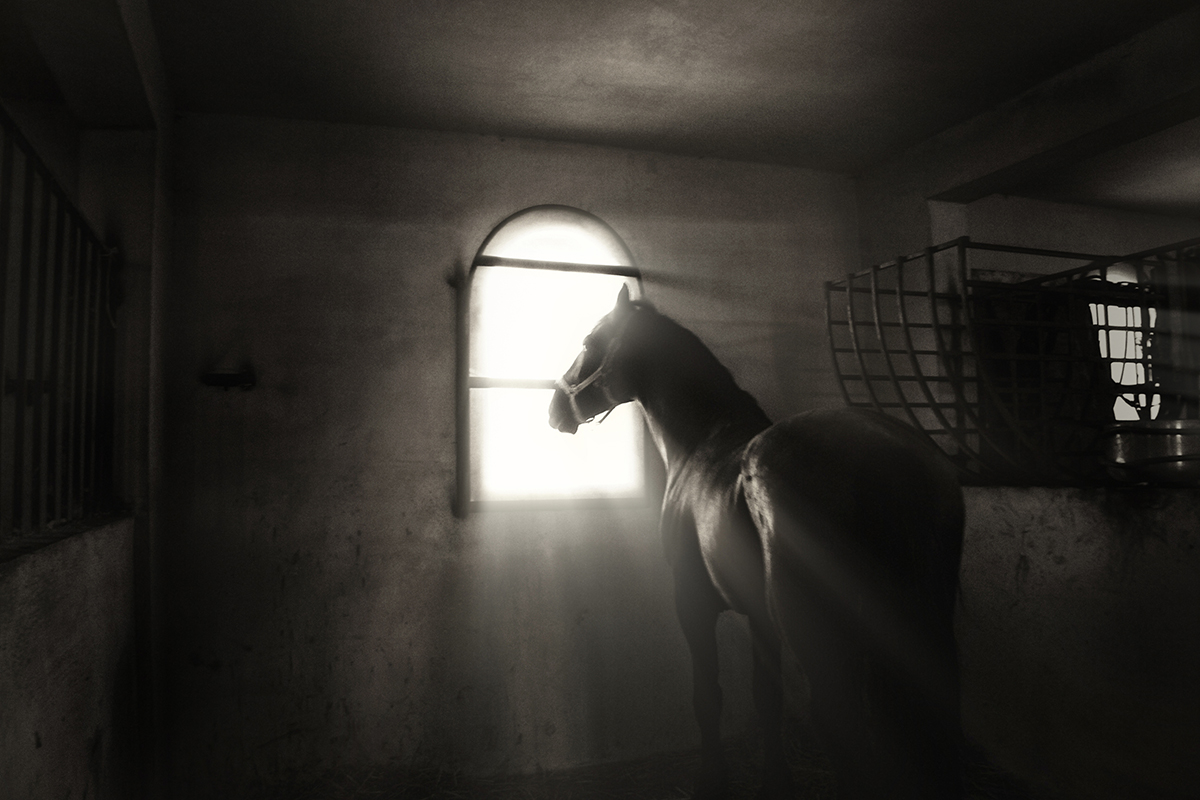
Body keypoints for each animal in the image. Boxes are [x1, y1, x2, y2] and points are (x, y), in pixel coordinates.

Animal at [548, 285, 965, 799]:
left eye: (589, 341)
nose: (554, 407)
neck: (700, 443)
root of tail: (887, 462)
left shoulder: (692, 604)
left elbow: (708, 696)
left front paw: (711, 780)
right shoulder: (760, 617)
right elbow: (767, 699)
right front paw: (775, 779)